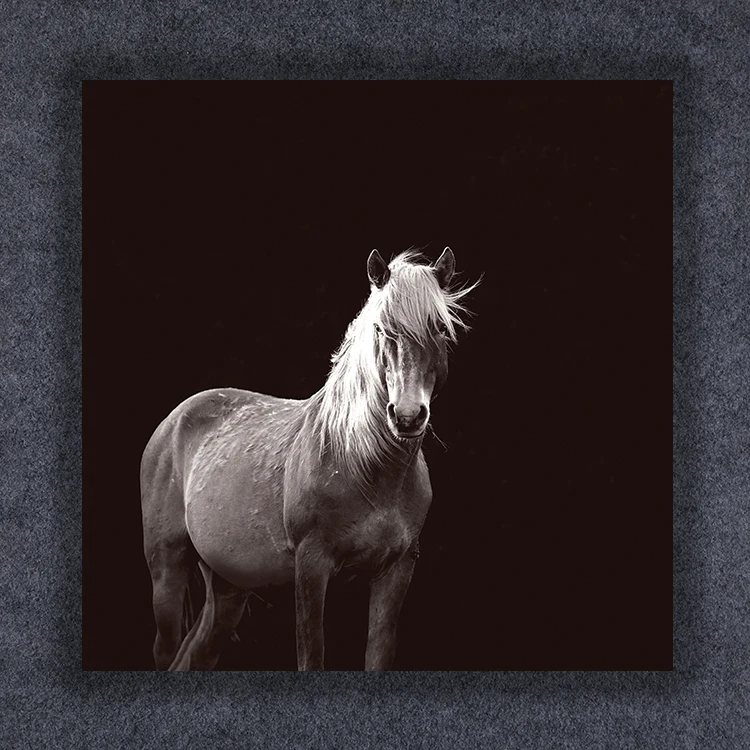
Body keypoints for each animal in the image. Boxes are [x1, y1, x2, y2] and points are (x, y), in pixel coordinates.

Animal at [140, 247, 478, 670]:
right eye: (381, 328)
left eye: (440, 329)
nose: (407, 416)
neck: (362, 465)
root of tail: (174, 419)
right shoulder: (312, 566)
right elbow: (310, 653)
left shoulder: (397, 568)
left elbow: (378, 652)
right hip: (166, 568)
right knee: (165, 648)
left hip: (228, 588)